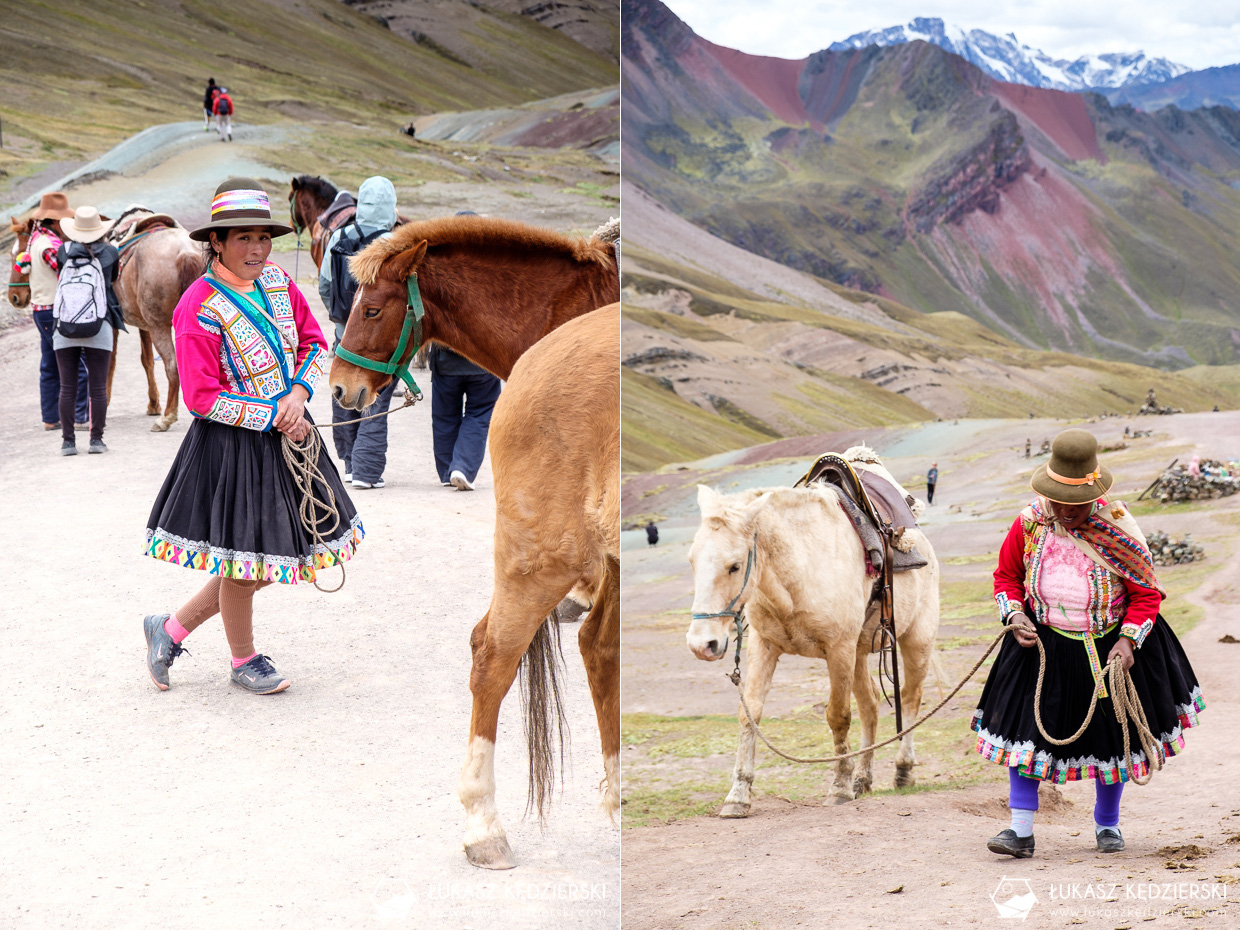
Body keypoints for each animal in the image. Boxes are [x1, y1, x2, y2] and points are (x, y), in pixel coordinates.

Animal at [105, 207, 204, 429]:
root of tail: (185, 251)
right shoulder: (144, 325)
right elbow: (147, 360)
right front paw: (153, 404)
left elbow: (110, 362)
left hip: (159, 326)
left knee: (172, 366)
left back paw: (167, 417)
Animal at [689, 458, 937, 813]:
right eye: (692, 561)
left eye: (734, 566)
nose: (702, 645)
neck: (800, 570)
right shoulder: (764, 646)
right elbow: (750, 713)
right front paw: (738, 794)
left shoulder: (838, 649)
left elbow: (838, 716)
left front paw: (839, 786)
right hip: (859, 653)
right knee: (871, 706)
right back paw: (863, 778)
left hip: (916, 640)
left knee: (911, 697)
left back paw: (902, 770)